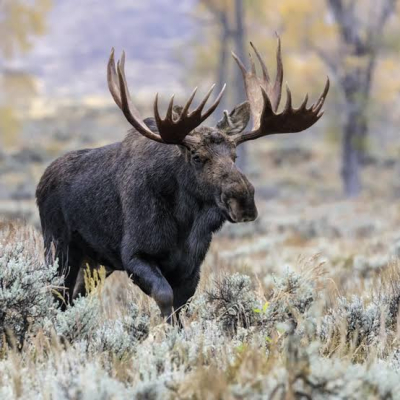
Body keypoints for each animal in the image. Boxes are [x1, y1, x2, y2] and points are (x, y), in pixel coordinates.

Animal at [36, 38, 330, 322]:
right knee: (57, 296)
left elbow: (181, 309)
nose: (244, 200)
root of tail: (41, 182)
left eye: (234, 155)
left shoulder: (191, 268)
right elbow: (165, 298)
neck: (185, 223)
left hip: (95, 263)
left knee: (72, 298)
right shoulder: (134, 255)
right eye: (197, 156)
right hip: (59, 248)